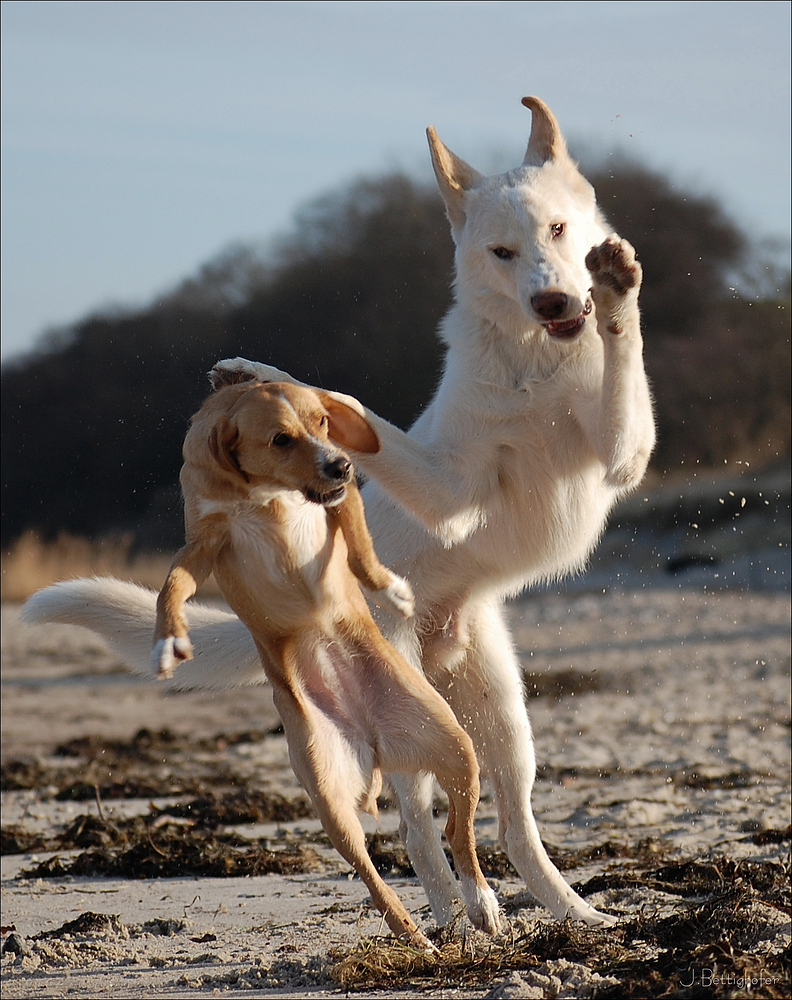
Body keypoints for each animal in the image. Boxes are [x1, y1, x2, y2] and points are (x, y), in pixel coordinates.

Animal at [152, 380, 498, 944]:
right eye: (280, 439)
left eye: (322, 421)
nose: (341, 464)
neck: (267, 496)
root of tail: (373, 743)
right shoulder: (204, 543)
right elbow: (173, 588)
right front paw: (168, 641)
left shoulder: (344, 501)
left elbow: (359, 550)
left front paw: (391, 589)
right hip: (330, 801)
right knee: (374, 875)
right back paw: (415, 936)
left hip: (453, 745)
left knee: (457, 831)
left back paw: (482, 903)